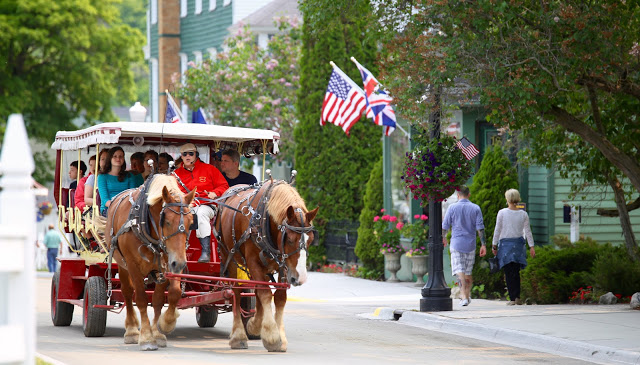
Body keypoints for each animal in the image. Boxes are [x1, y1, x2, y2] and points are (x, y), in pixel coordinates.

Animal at [104, 175, 195, 352]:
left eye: (191, 221)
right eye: (166, 221)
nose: (180, 263)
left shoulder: (169, 263)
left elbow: (165, 296)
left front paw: (163, 327)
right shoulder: (133, 264)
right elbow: (140, 298)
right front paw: (146, 337)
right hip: (122, 264)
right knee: (127, 292)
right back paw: (132, 330)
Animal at [216, 181, 318, 352]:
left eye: (310, 239)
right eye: (289, 239)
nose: (300, 278)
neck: (264, 220)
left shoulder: (284, 266)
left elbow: (279, 297)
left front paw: (271, 332)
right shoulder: (253, 262)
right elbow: (265, 294)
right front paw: (272, 335)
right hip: (229, 257)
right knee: (236, 293)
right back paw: (238, 335)